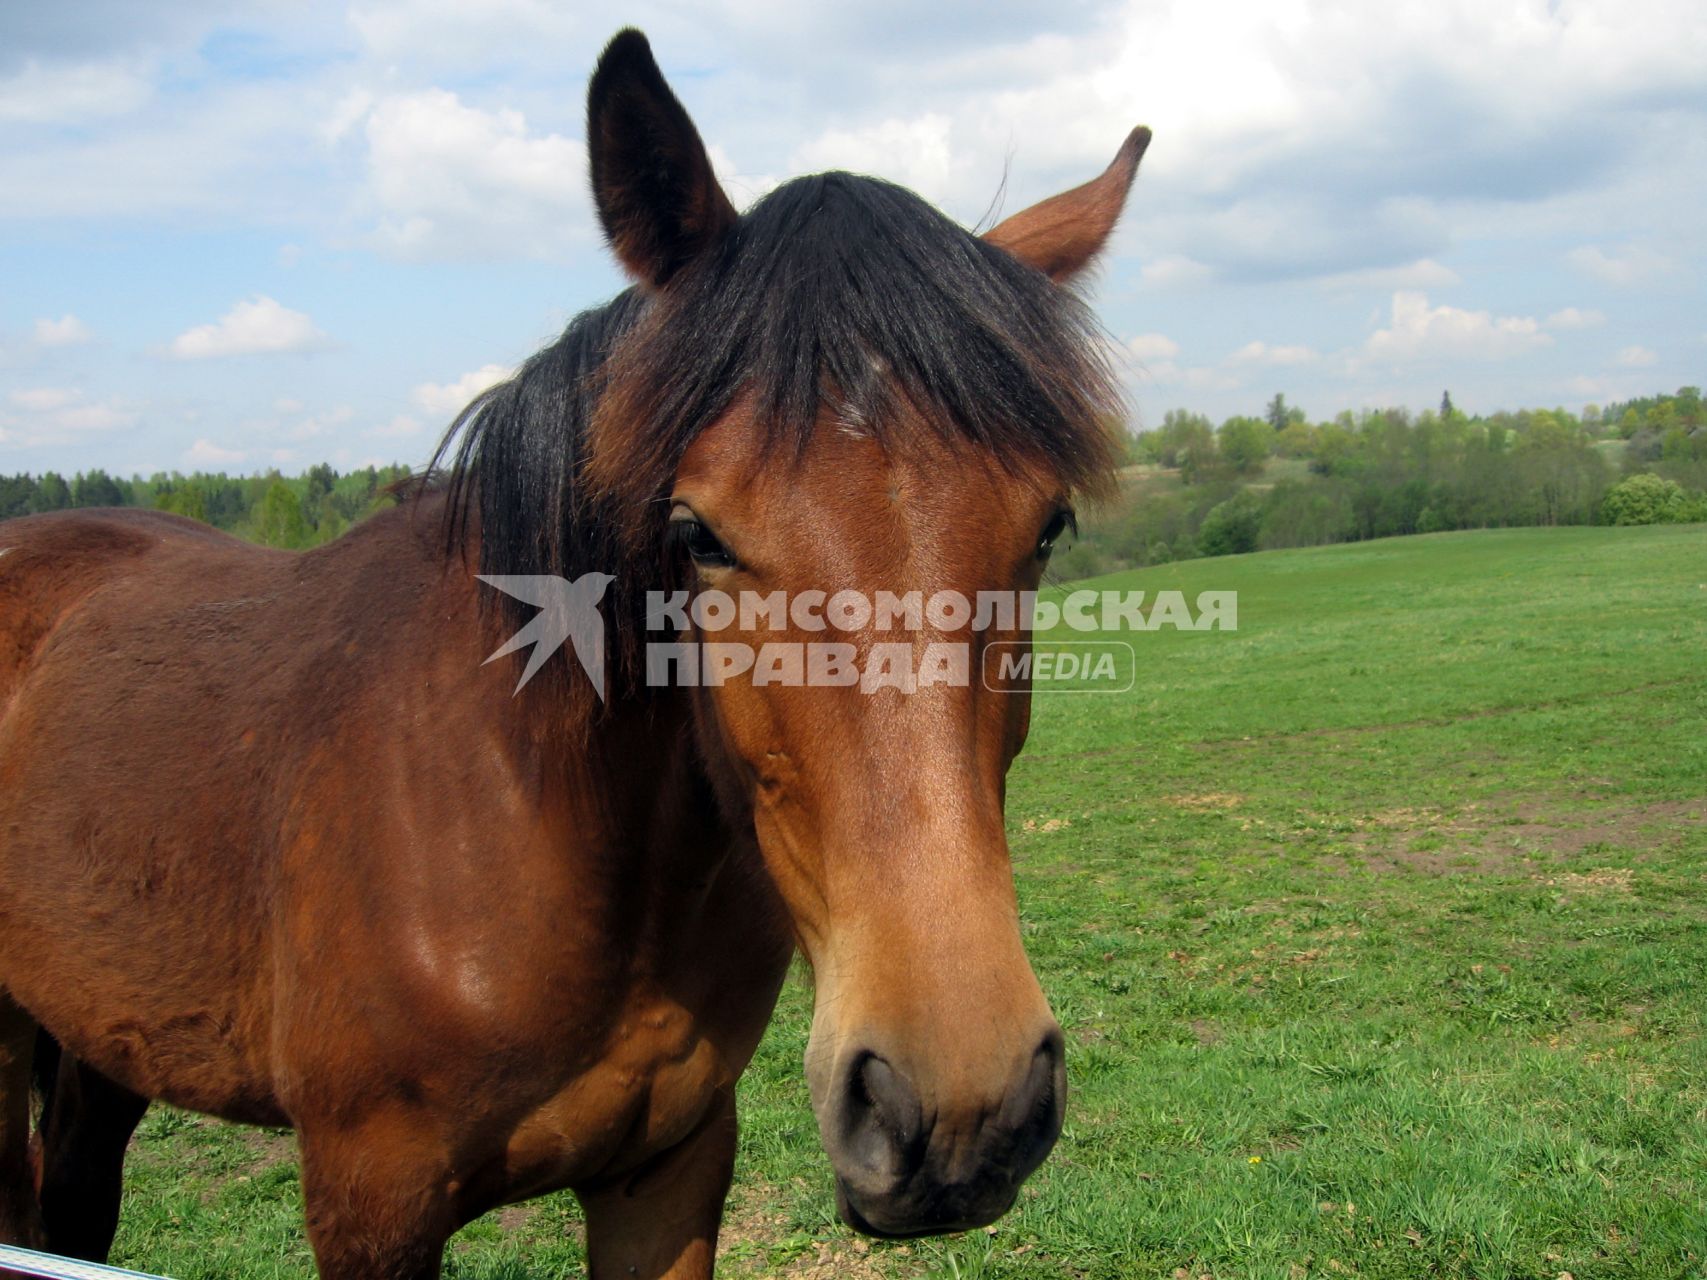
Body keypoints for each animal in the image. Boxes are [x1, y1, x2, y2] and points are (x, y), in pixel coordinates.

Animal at [3, 30, 1147, 1280]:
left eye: (1048, 526)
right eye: (695, 532)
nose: (956, 1105)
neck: (524, 813)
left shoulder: (670, 1165)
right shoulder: (369, 1198)